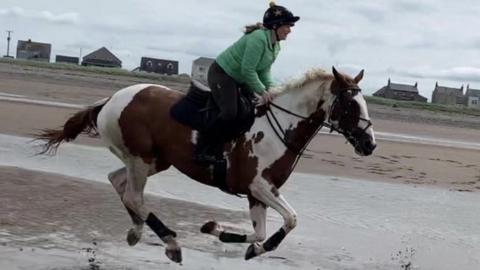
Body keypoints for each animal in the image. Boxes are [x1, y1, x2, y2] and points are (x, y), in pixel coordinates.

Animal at [35, 66, 376, 262]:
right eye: (350, 104)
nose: (370, 144)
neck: (281, 128)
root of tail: (112, 99)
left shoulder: (258, 195)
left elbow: (260, 234)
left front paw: (223, 234)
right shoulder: (259, 187)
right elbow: (291, 220)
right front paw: (250, 246)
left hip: (155, 161)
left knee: (119, 182)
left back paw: (136, 231)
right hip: (141, 159)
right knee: (133, 195)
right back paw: (171, 243)